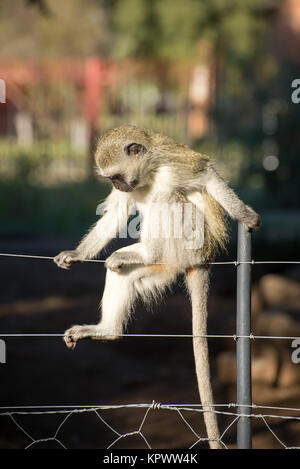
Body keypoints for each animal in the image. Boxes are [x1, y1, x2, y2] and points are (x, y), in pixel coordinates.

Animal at [54, 125, 260, 450]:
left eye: (116, 176)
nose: (119, 185)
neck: (147, 172)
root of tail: (203, 259)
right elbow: (116, 213)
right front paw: (76, 254)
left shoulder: (173, 167)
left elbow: (206, 173)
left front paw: (245, 214)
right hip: (167, 266)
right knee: (123, 274)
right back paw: (108, 328)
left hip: (190, 243)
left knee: (166, 197)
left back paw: (146, 252)